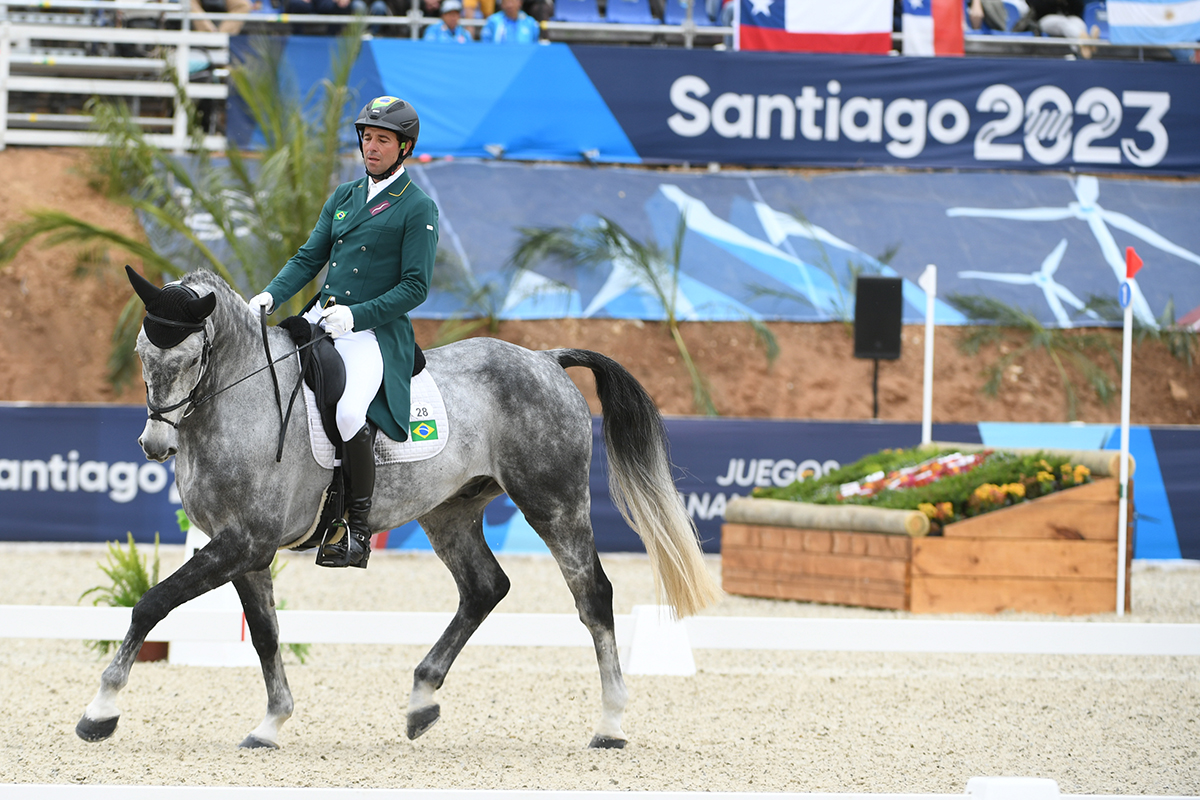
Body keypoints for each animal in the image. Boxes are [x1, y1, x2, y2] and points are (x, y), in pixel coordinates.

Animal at [79, 267, 720, 753]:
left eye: (191, 359)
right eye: (142, 352)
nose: (155, 446)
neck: (243, 400)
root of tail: (544, 358)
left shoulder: (244, 543)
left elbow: (151, 603)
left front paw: (100, 710)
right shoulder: (245, 549)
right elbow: (264, 635)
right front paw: (270, 724)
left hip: (553, 503)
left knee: (592, 595)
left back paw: (610, 724)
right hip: (449, 511)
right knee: (485, 588)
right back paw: (421, 701)